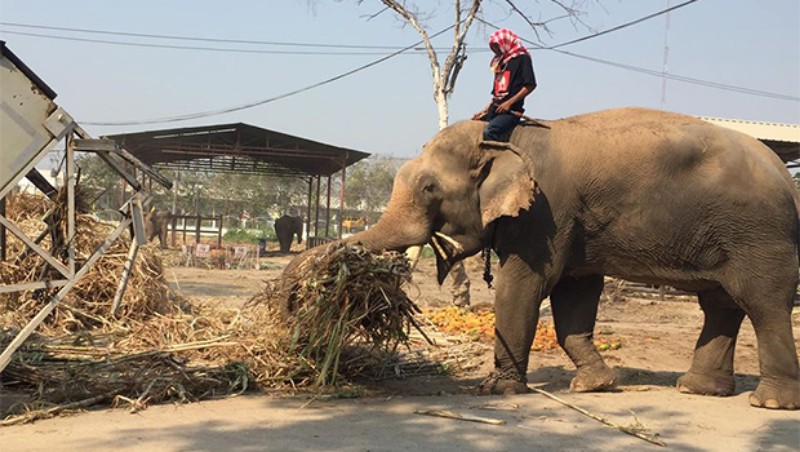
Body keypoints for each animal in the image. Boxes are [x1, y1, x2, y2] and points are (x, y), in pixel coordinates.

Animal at [286, 107, 800, 409]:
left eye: (429, 187)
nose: (296, 310)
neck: (503, 138)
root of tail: (786, 174)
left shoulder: (548, 211)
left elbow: (525, 286)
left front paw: (497, 391)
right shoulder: (573, 225)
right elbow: (574, 296)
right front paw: (594, 386)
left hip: (760, 234)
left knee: (763, 303)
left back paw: (769, 404)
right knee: (721, 304)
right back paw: (697, 389)